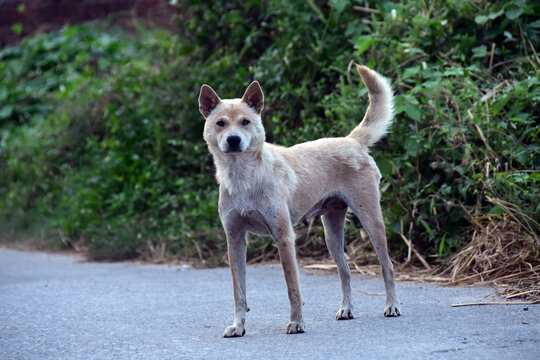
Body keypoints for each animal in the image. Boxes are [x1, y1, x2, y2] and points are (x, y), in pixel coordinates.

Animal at [198, 64, 400, 338]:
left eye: (245, 122)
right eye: (220, 123)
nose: (233, 140)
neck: (244, 178)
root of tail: (351, 140)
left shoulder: (284, 238)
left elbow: (292, 288)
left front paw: (297, 323)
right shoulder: (235, 240)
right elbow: (239, 292)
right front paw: (238, 326)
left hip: (371, 221)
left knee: (387, 265)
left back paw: (392, 305)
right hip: (331, 234)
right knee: (345, 272)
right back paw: (346, 309)